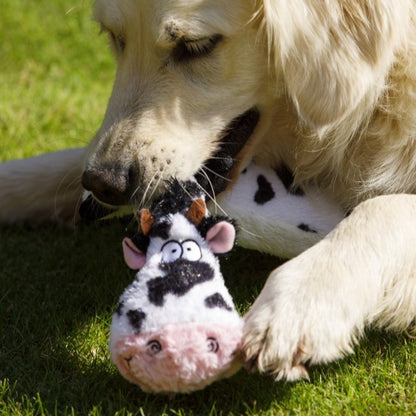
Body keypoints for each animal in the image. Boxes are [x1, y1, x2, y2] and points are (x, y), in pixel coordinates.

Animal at [0, 0, 416, 382]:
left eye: (196, 46)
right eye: (116, 38)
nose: (105, 184)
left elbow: (381, 209)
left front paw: (296, 306)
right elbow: (57, 167)